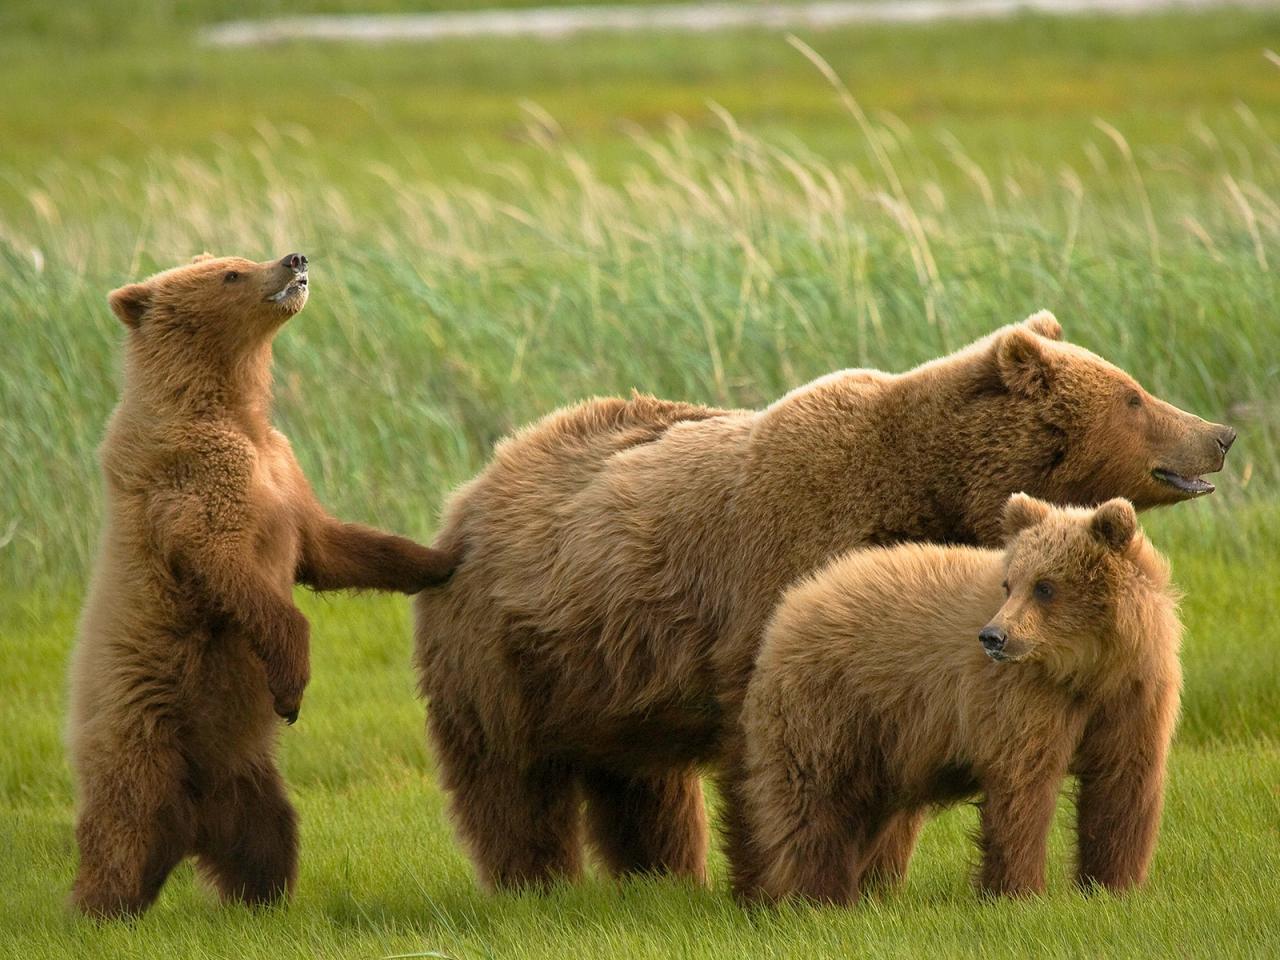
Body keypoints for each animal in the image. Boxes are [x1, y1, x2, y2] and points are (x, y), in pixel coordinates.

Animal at [412, 316, 1228, 896]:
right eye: (1132, 395)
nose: (1219, 434)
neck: (927, 491)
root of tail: (473, 489)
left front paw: (877, 875)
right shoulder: (781, 570)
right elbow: (773, 743)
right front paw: (775, 883)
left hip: (613, 677)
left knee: (640, 780)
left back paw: (662, 875)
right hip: (504, 654)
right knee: (510, 778)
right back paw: (533, 883)